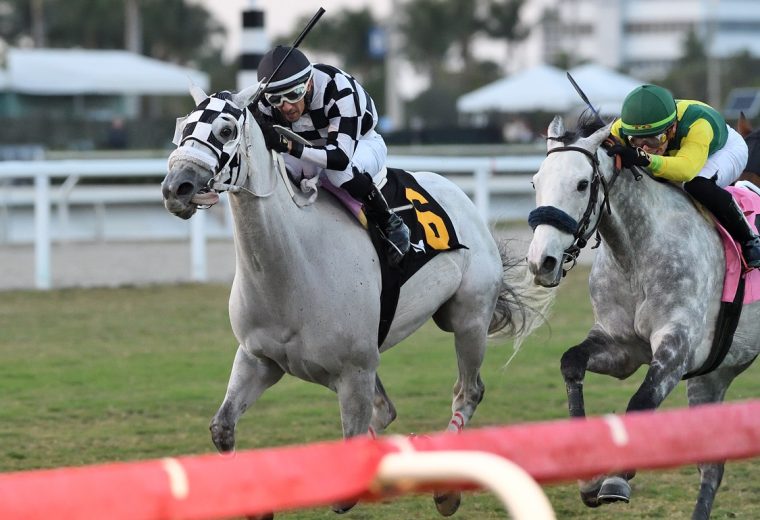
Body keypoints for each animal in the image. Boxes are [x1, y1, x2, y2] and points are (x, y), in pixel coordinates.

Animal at [162, 85, 552, 516]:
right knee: (387, 410)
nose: (176, 187)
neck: (293, 268)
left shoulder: (355, 370)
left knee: (468, 391)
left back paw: (445, 487)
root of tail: (460, 197)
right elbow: (222, 428)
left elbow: (345, 485)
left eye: (227, 129)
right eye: (183, 126)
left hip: (468, 319)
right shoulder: (259, 358)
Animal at [524, 115, 760, 520]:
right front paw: (588, 477)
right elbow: (572, 361)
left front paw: (617, 479)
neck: (635, 254)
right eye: (536, 182)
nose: (543, 262)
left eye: (582, 184)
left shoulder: (678, 348)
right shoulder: (622, 348)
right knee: (712, 465)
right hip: (714, 375)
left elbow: (641, 402)